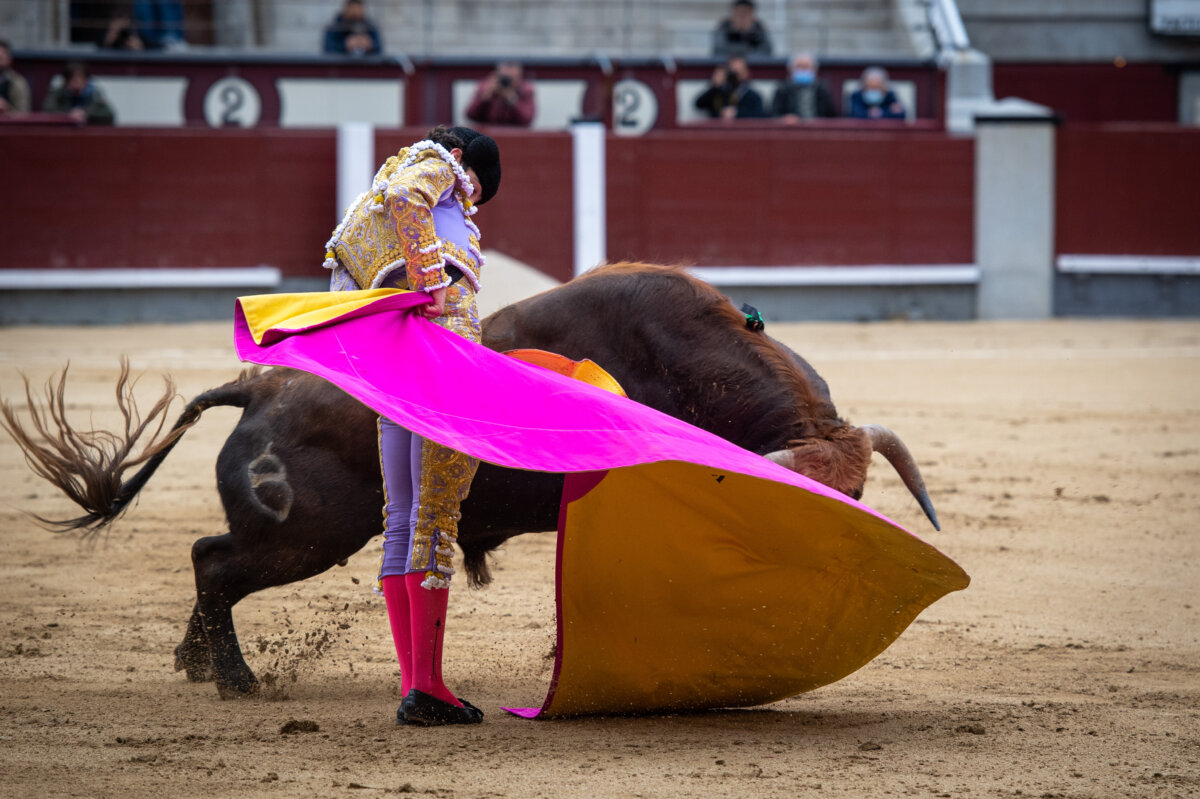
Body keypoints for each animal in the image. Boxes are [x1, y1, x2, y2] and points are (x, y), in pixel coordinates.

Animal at [1, 262, 938, 699]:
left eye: (858, 504)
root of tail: (261, 386)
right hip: (306, 534)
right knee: (213, 561)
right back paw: (235, 679)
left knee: (209, 559)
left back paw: (195, 664)